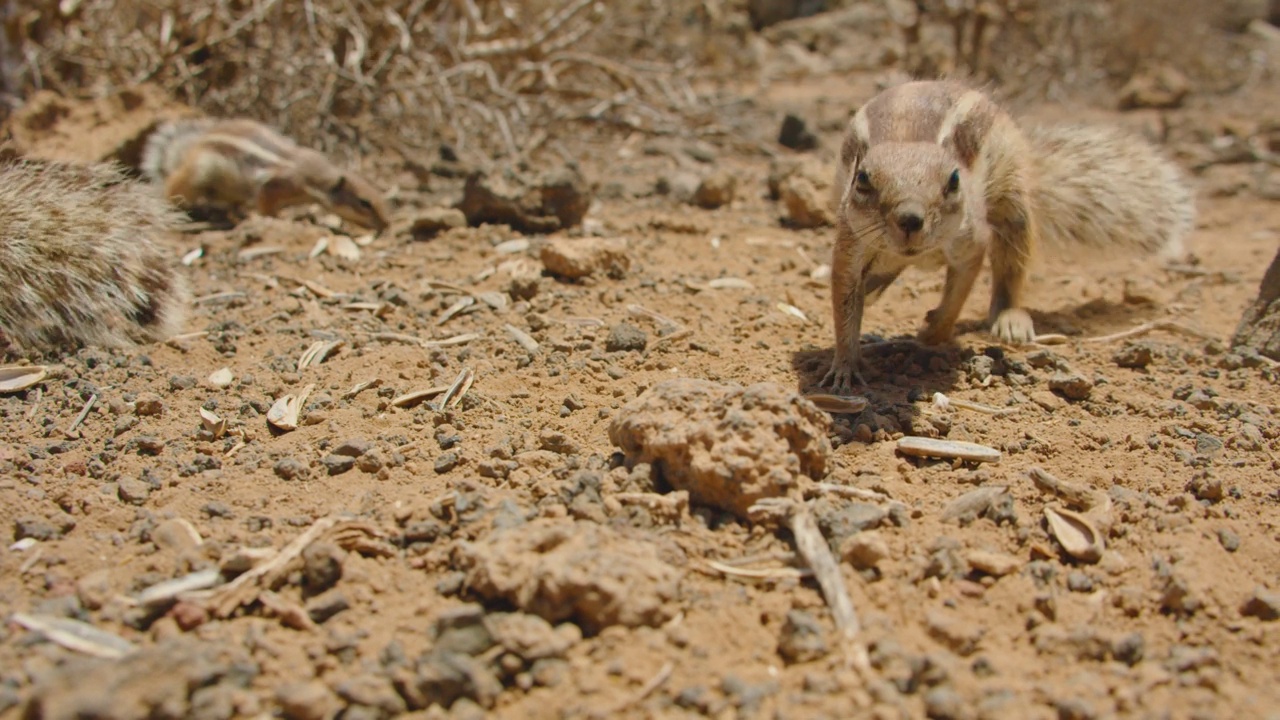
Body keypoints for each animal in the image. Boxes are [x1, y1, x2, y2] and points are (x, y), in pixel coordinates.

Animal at [143, 117, 391, 229]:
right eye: (364, 203)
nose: (386, 224)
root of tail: (195, 145)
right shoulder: (276, 185)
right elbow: (265, 203)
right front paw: (280, 218)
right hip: (199, 173)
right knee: (175, 185)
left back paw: (239, 215)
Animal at [824, 79, 1192, 389]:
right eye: (863, 179)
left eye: (953, 181)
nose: (910, 219)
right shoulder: (851, 243)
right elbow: (844, 303)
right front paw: (845, 367)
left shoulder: (971, 240)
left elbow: (959, 293)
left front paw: (933, 331)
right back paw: (877, 285)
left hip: (1013, 202)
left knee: (1010, 271)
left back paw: (1010, 319)